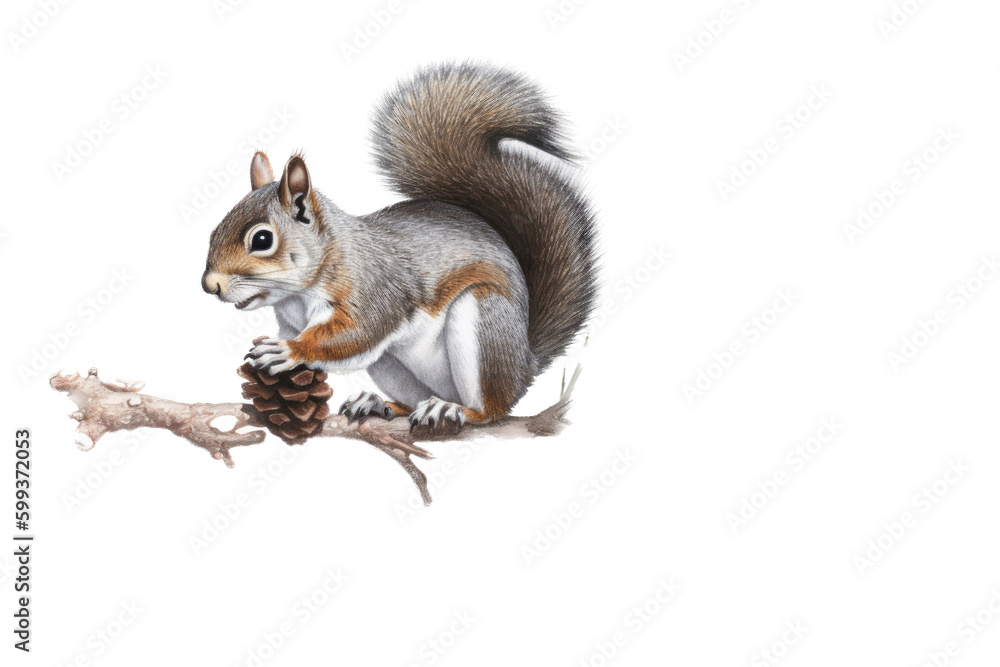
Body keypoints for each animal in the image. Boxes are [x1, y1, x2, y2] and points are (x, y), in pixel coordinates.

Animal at [202, 62, 598, 429]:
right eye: (213, 231)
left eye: (262, 239)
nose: (210, 285)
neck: (300, 292)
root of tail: (525, 364)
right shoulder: (291, 319)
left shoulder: (373, 291)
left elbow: (357, 333)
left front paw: (289, 350)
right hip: (391, 363)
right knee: (413, 396)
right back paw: (381, 404)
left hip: (485, 321)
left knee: (494, 409)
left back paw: (454, 409)